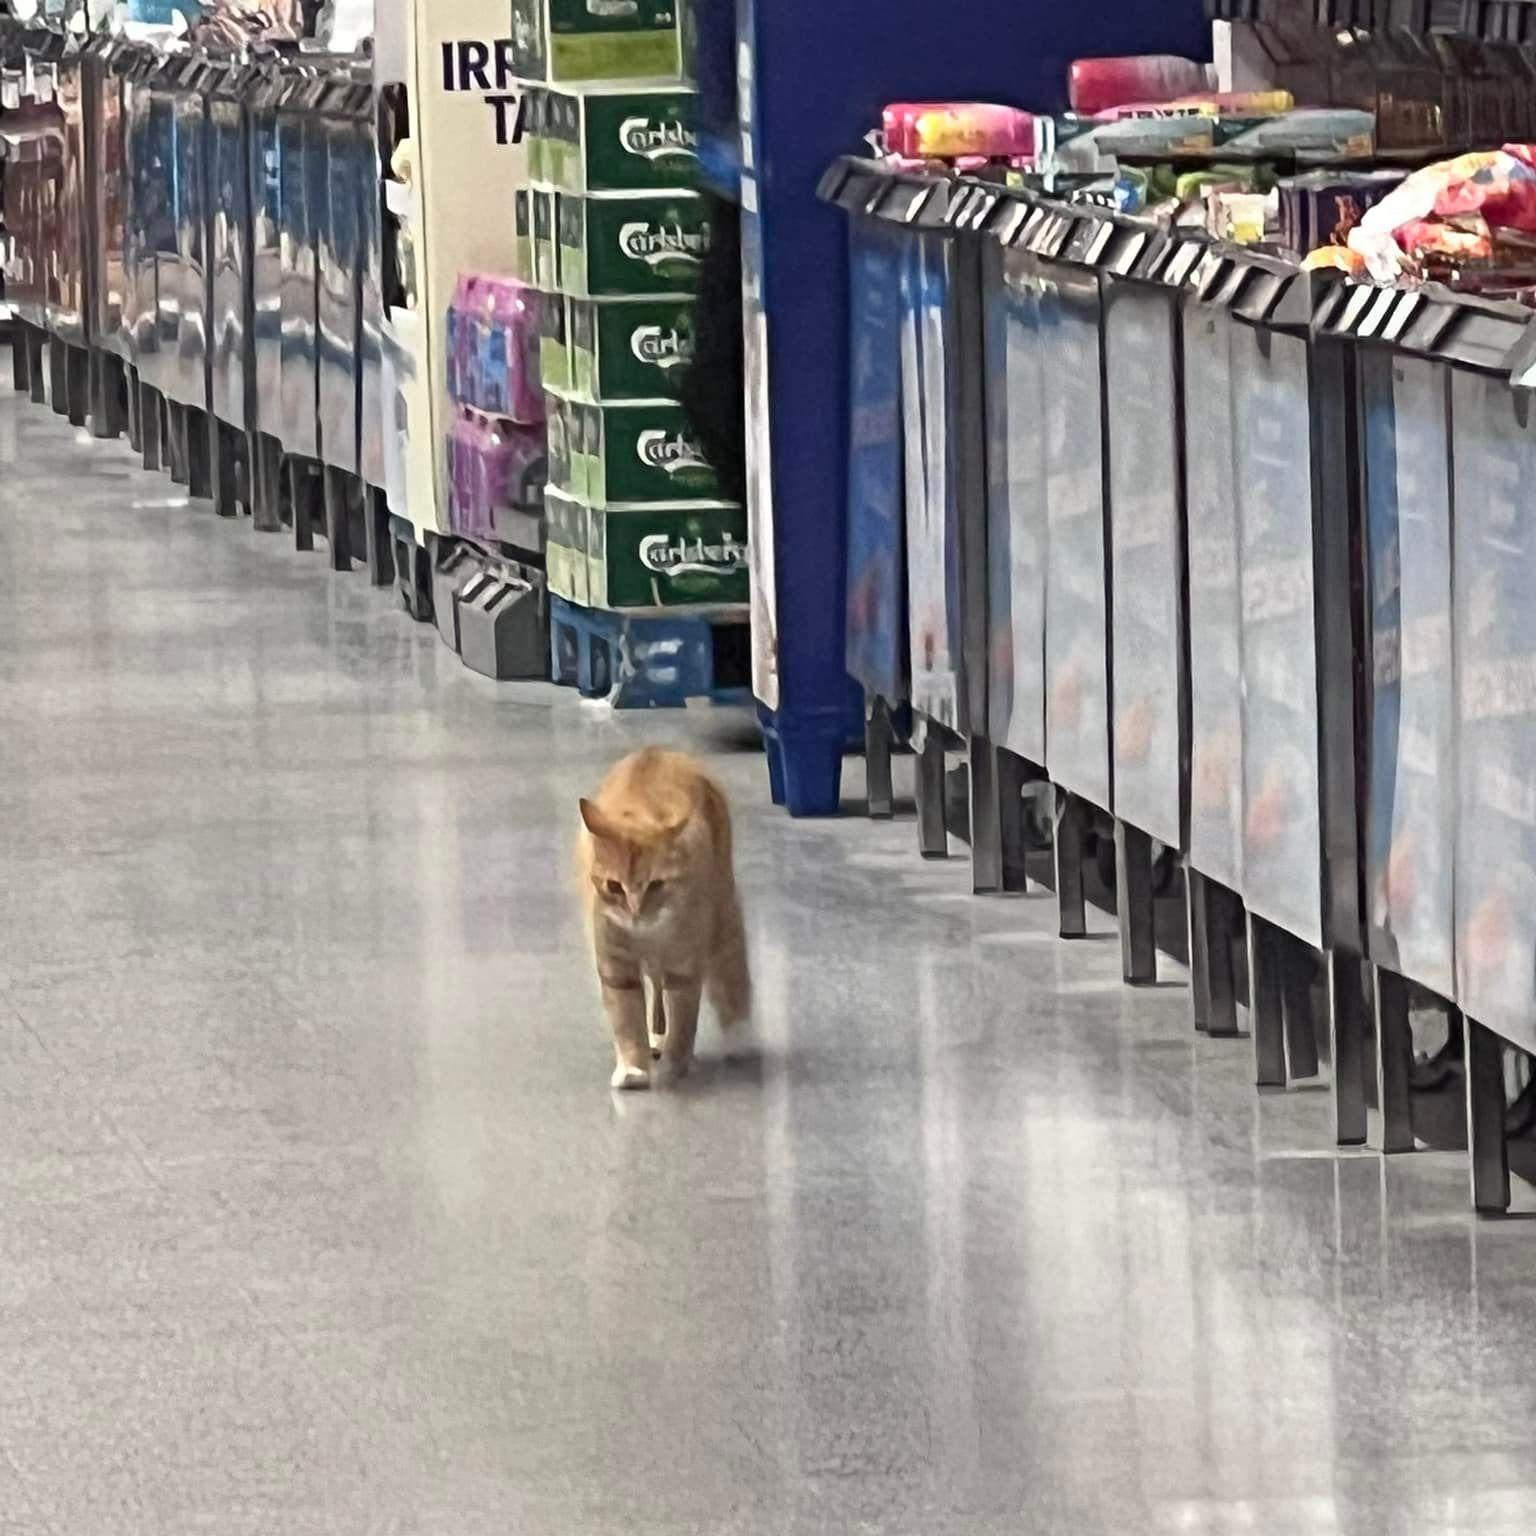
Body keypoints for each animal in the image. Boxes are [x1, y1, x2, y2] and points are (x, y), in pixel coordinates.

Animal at [577, 746, 749, 1087]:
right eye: (613, 886)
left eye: (656, 885)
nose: (634, 911)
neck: (649, 933)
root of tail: (659, 749)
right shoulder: (617, 966)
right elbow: (627, 1018)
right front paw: (634, 1066)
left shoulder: (684, 965)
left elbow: (683, 1019)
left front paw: (675, 1064)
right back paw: (655, 1039)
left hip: (723, 914)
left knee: (730, 972)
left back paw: (738, 1038)